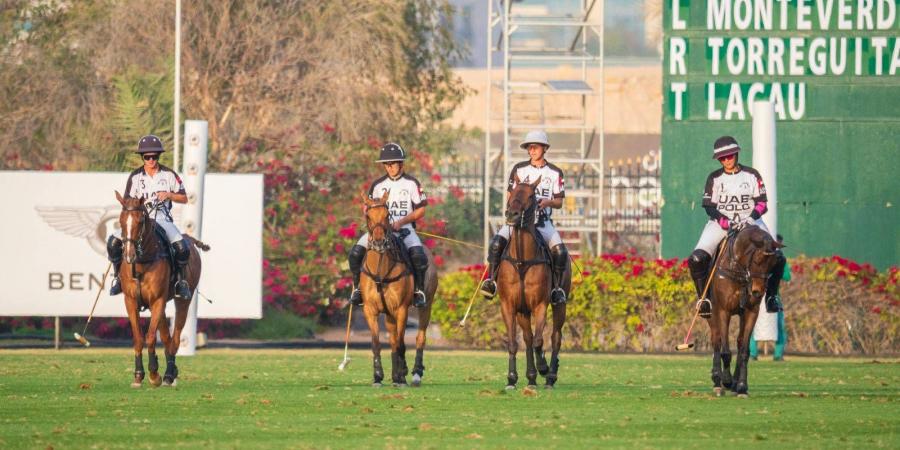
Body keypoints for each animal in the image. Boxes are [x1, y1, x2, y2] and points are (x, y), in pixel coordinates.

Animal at [114, 192, 207, 388]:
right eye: (121, 219)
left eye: (141, 220)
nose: (129, 255)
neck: (142, 263)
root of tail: (189, 238)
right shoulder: (130, 301)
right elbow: (138, 338)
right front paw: (138, 375)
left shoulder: (157, 300)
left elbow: (150, 337)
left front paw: (154, 374)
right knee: (166, 337)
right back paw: (169, 370)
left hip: (183, 300)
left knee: (176, 338)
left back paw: (169, 375)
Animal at [358, 191, 436, 386]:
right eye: (368, 215)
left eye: (387, 215)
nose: (379, 242)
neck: (380, 271)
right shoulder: (370, 310)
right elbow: (377, 342)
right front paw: (378, 375)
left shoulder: (401, 309)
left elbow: (401, 342)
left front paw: (400, 375)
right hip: (389, 314)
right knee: (394, 339)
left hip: (426, 306)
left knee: (419, 337)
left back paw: (415, 373)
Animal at [500, 178, 568, 388]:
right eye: (513, 191)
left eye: (531, 195)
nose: (512, 214)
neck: (522, 260)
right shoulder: (509, 305)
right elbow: (514, 342)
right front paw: (511, 378)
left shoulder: (540, 305)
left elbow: (540, 341)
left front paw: (543, 367)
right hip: (523, 310)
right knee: (528, 338)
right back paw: (531, 376)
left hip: (560, 304)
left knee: (555, 337)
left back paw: (550, 375)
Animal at [708, 225, 784, 398]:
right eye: (757, 260)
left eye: (774, 264)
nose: (757, 292)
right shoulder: (723, 311)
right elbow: (725, 350)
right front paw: (726, 380)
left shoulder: (751, 312)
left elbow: (744, 351)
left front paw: (741, 386)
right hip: (712, 313)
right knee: (716, 340)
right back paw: (717, 381)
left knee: (739, 341)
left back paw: (735, 384)